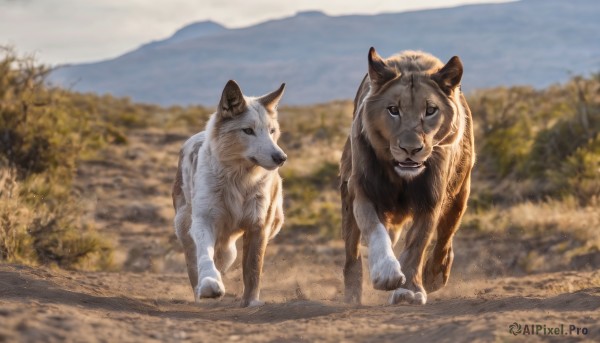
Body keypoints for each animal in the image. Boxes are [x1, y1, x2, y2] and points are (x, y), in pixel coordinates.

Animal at [172, 81, 288, 310]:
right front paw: (210, 284)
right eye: (248, 131)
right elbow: (205, 256)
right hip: (183, 225)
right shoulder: (204, 220)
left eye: (272, 131)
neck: (239, 179)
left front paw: (251, 302)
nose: (281, 157)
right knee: (195, 263)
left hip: (273, 222)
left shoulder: (259, 226)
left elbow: (252, 269)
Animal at [342, 47, 474, 306]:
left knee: (444, 239)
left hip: (459, 195)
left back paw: (435, 275)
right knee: (351, 254)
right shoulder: (364, 190)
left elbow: (416, 245)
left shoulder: (431, 199)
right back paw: (352, 295)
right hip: (347, 197)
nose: (410, 149)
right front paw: (386, 273)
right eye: (394, 110)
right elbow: (374, 229)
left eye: (430, 110)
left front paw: (409, 290)